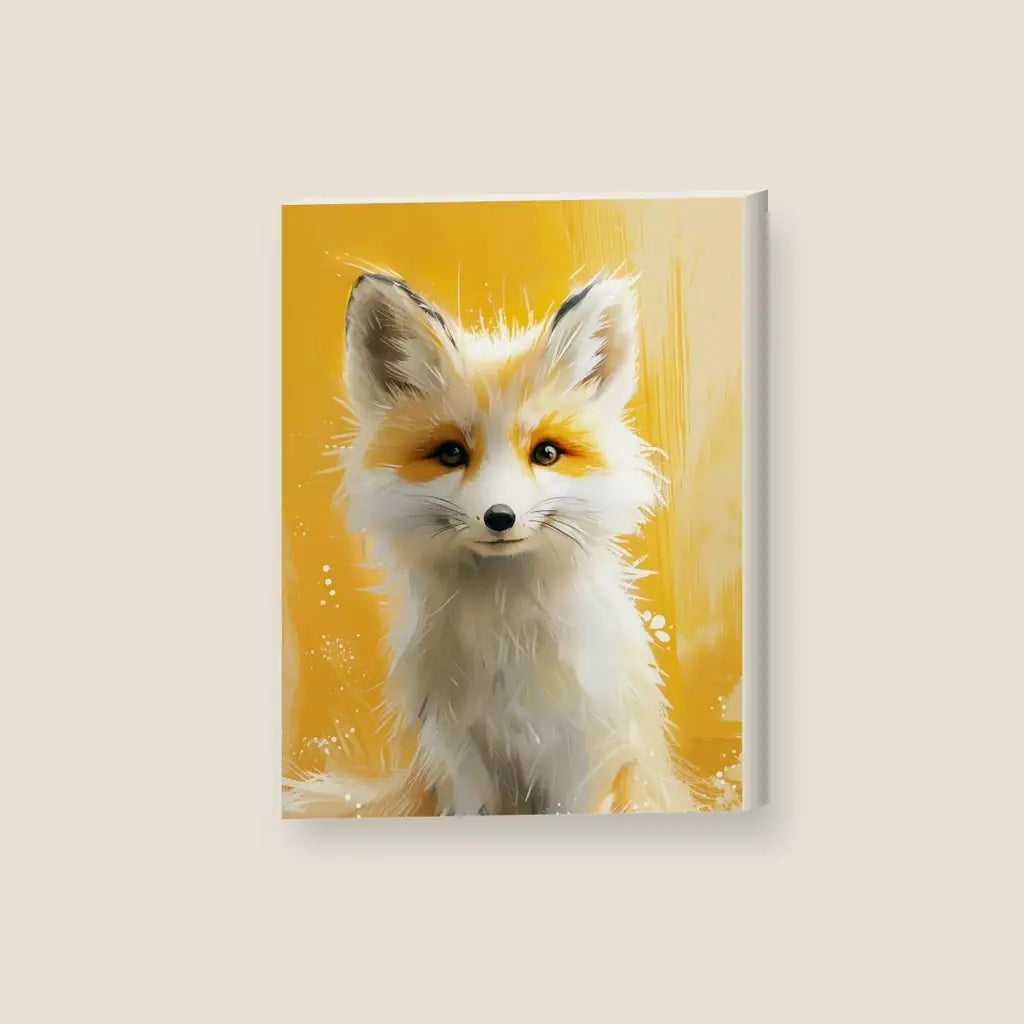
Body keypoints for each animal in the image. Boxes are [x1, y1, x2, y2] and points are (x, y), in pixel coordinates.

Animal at [283, 272, 695, 816]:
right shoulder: (460, 756)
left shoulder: (585, 754)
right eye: (451, 453)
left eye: (546, 453)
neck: (507, 647)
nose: (500, 517)